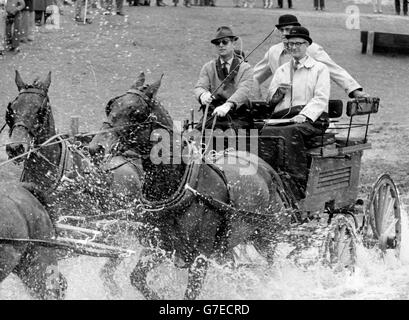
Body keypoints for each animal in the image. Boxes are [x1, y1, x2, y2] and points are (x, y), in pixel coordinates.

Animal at [88, 72, 290, 300]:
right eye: (110, 107)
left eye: (137, 113)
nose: (95, 147)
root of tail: (265, 167)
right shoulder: (160, 247)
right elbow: (137, 279)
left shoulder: (200, 256)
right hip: (227, 248)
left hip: (267, 238)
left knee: (271, 270)